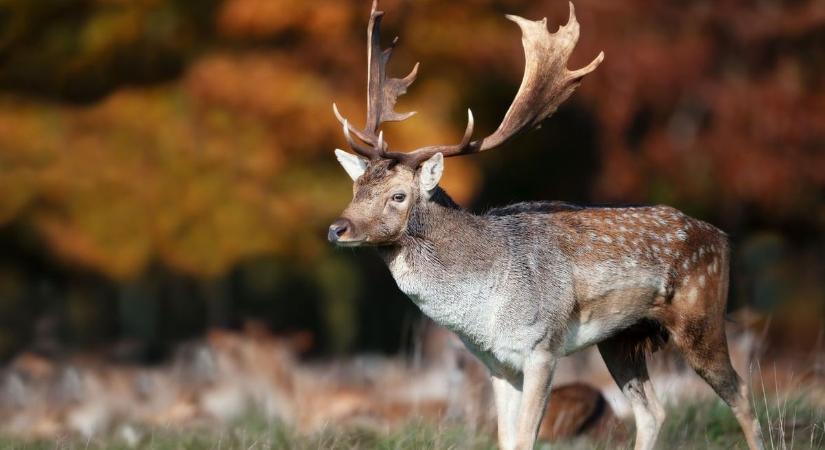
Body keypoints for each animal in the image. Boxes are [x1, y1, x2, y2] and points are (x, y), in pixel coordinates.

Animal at [328, 1, 768, 448]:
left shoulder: (541, 347)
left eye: (398, 195)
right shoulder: (497, 362)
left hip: (701, 314)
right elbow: (505, 439)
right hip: (620, 340)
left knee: (742, 393)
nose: (337, 228)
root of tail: (722, 238)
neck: (484, 308)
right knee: (652, 411)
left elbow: (525, 438)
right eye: (357, 186)